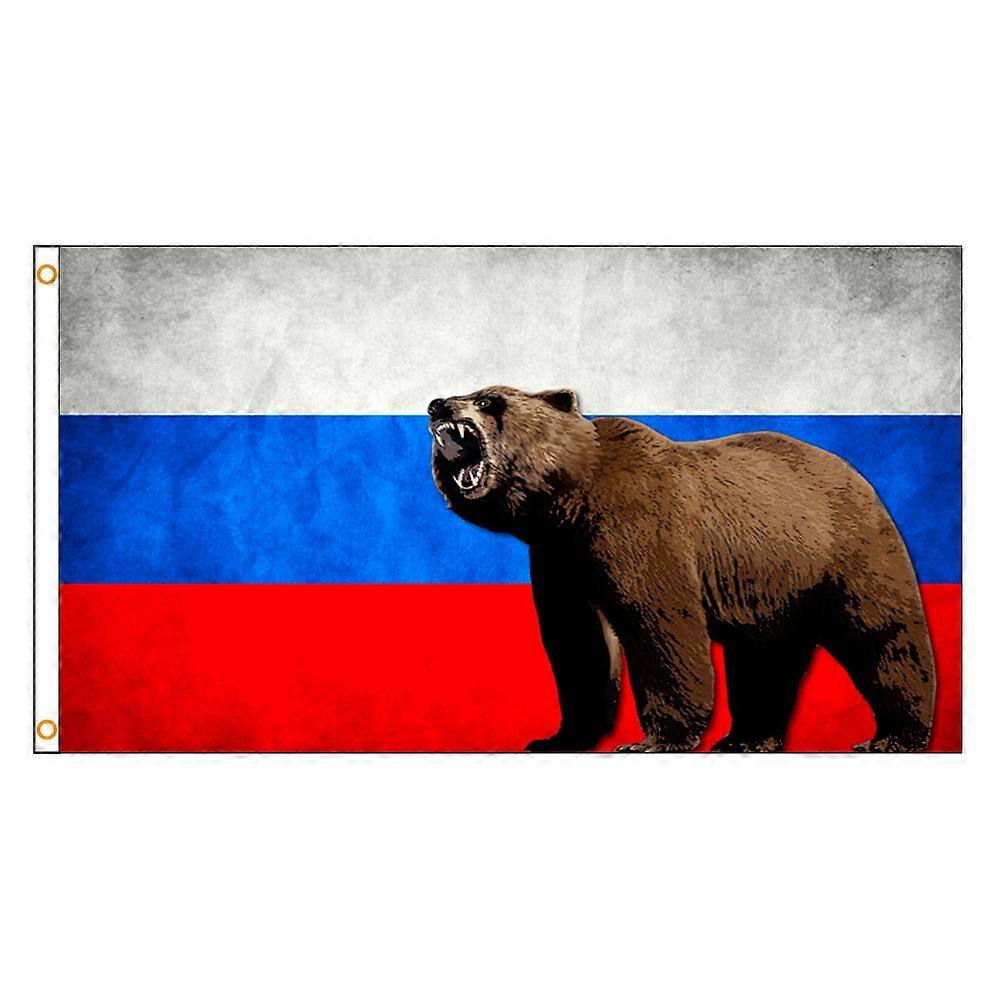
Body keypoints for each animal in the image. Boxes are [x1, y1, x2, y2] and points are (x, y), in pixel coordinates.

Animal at [428, 386, 936, 752]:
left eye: (489, 399)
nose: (437, 405)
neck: (567, 501)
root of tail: (858, 475)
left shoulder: (637, 526)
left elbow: (659, 625)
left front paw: (651, 740)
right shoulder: (560, 558)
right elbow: (577, 642)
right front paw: (558, 737)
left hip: (841, 550)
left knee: (882, 634)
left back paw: (892, 736)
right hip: (773, 582)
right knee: (765, 658)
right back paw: (747, 738)